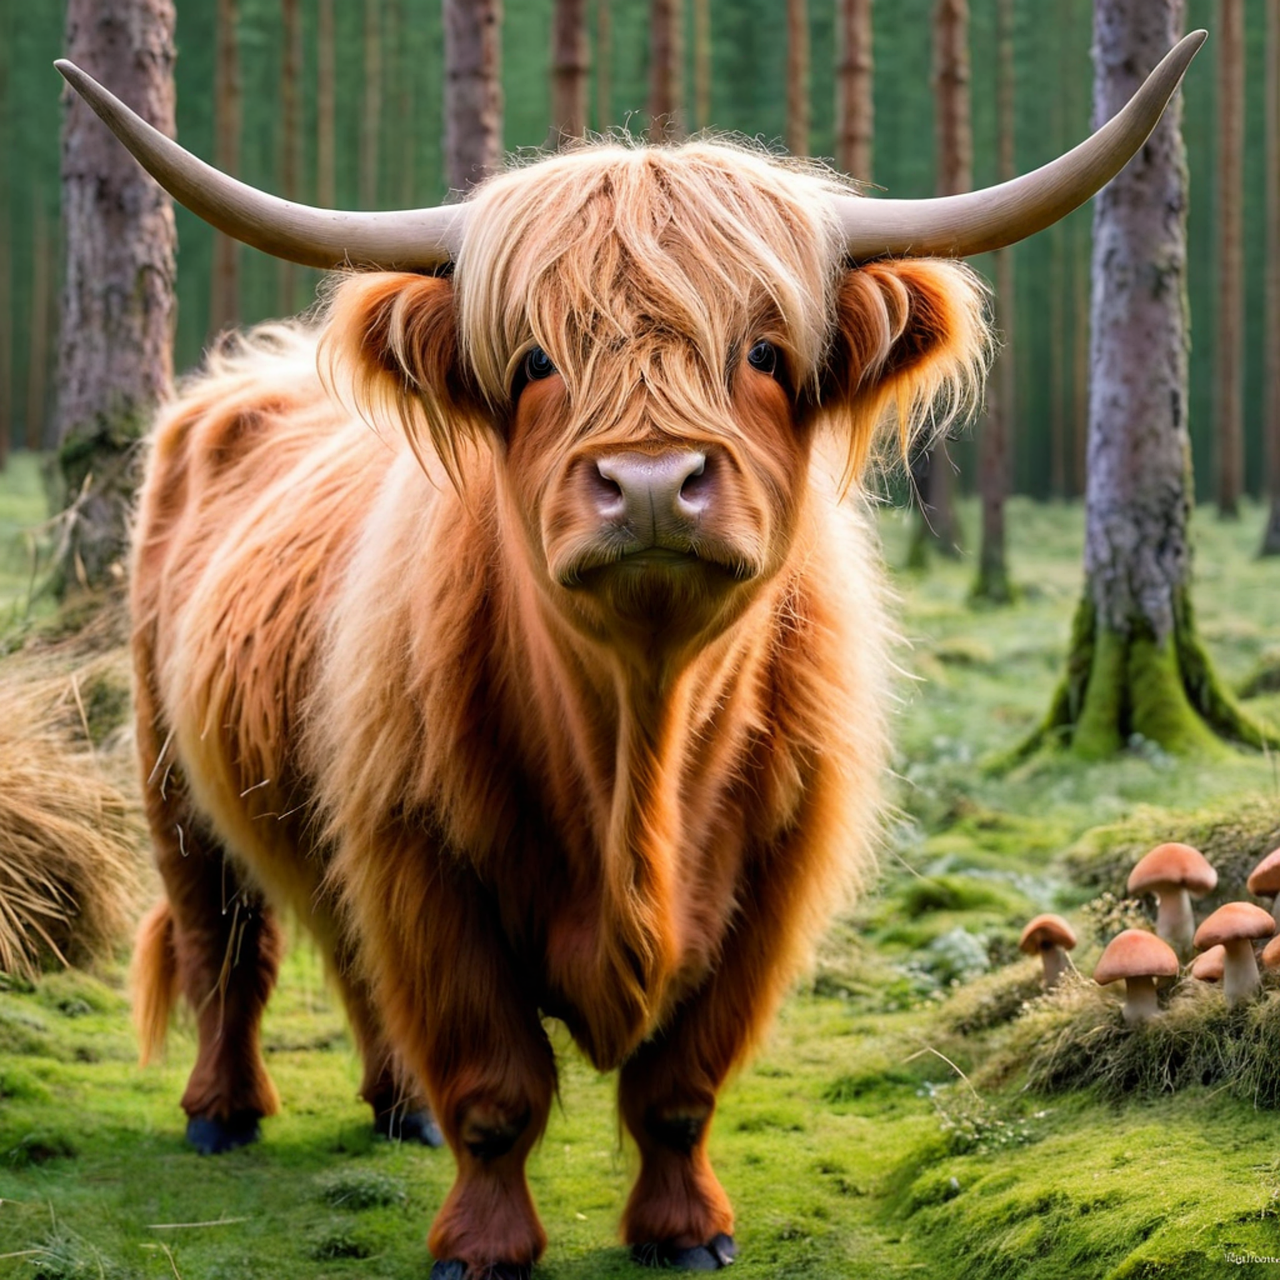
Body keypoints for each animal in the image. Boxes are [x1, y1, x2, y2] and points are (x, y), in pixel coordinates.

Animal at [59, 33, 1202, 1280]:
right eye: (529, 360)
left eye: (764, 351)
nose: (651, 481)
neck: (633, 746)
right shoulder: (421, 853)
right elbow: (495, 1083)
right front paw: (483, 1244)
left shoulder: (767, 875)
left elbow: (678, 1084)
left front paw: (684, 1229)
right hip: (170, 776)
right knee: (225, 945)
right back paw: (221, 1111)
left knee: (350, 959)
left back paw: (395, 1105)